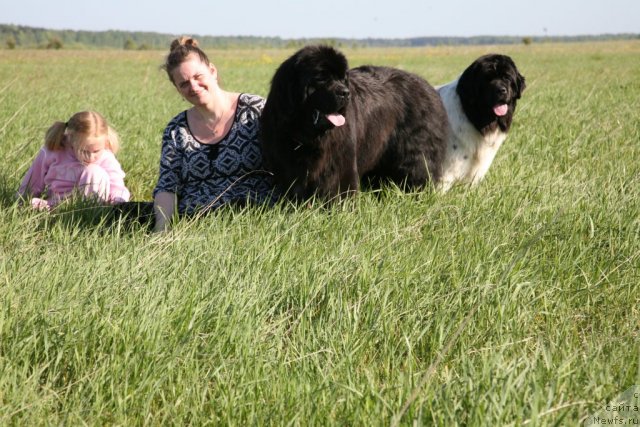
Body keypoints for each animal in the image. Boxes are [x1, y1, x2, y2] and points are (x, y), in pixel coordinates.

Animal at [258, 45, 448, 202]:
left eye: (342, 79)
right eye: (321, 78)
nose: (345, 93)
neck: (309, 134)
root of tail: (428, 87)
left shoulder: (341, 162)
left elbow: (340, 189)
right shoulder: (286, 162)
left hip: (415, 153)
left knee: (418, 172)